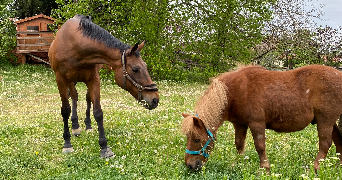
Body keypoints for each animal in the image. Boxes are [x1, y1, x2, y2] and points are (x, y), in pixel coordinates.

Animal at [48, 14, 160, 158]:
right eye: (136, 69)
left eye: (145, 66)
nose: (155, 99)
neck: (75, 46)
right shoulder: (61, 80)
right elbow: (65, 110)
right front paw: (67, 143)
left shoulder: (94, 80)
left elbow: (98, 112)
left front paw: (104, 147)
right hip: (70, 81)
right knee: (74, 97)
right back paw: (75, 126)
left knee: (86, 98)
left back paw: (87, 125)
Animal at [183, 65, 342, 173]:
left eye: (197, 139)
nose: (190, 165)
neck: (235, 91)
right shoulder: (239, 124)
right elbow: (239, 144)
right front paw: (237, 165)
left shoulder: (256, 124)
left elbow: (260, 146)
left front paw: (264, 168)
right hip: (331, 122)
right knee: (338, 140)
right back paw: (337, 166)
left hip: (325, 120)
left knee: (325, 144)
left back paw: (315, 169)